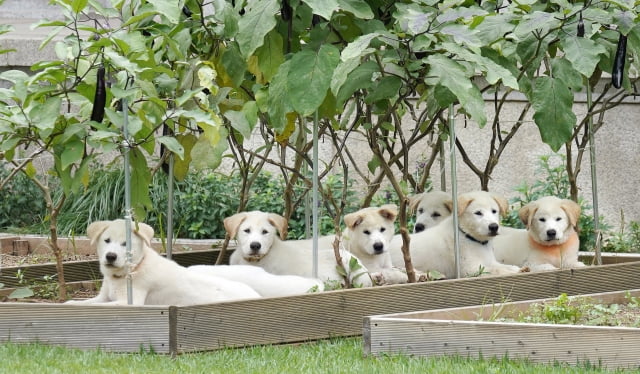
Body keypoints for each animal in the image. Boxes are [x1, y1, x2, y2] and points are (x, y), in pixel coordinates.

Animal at [66, 221, 262, 306]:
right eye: (106, 240)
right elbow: (81, 303)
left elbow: (94, 306)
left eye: (125, 244)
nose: (111, 256)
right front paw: (69, 304)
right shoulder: (103, 297)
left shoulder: (129, 302)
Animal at [388, 191, 524, 280]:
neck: (470, 237)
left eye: (494, 211)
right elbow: (496, 270)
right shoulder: (471, 269)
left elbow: (503, 266)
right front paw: (515, 271)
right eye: (478, 213)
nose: (494, 226)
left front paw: (516, 268)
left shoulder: (489, 261)